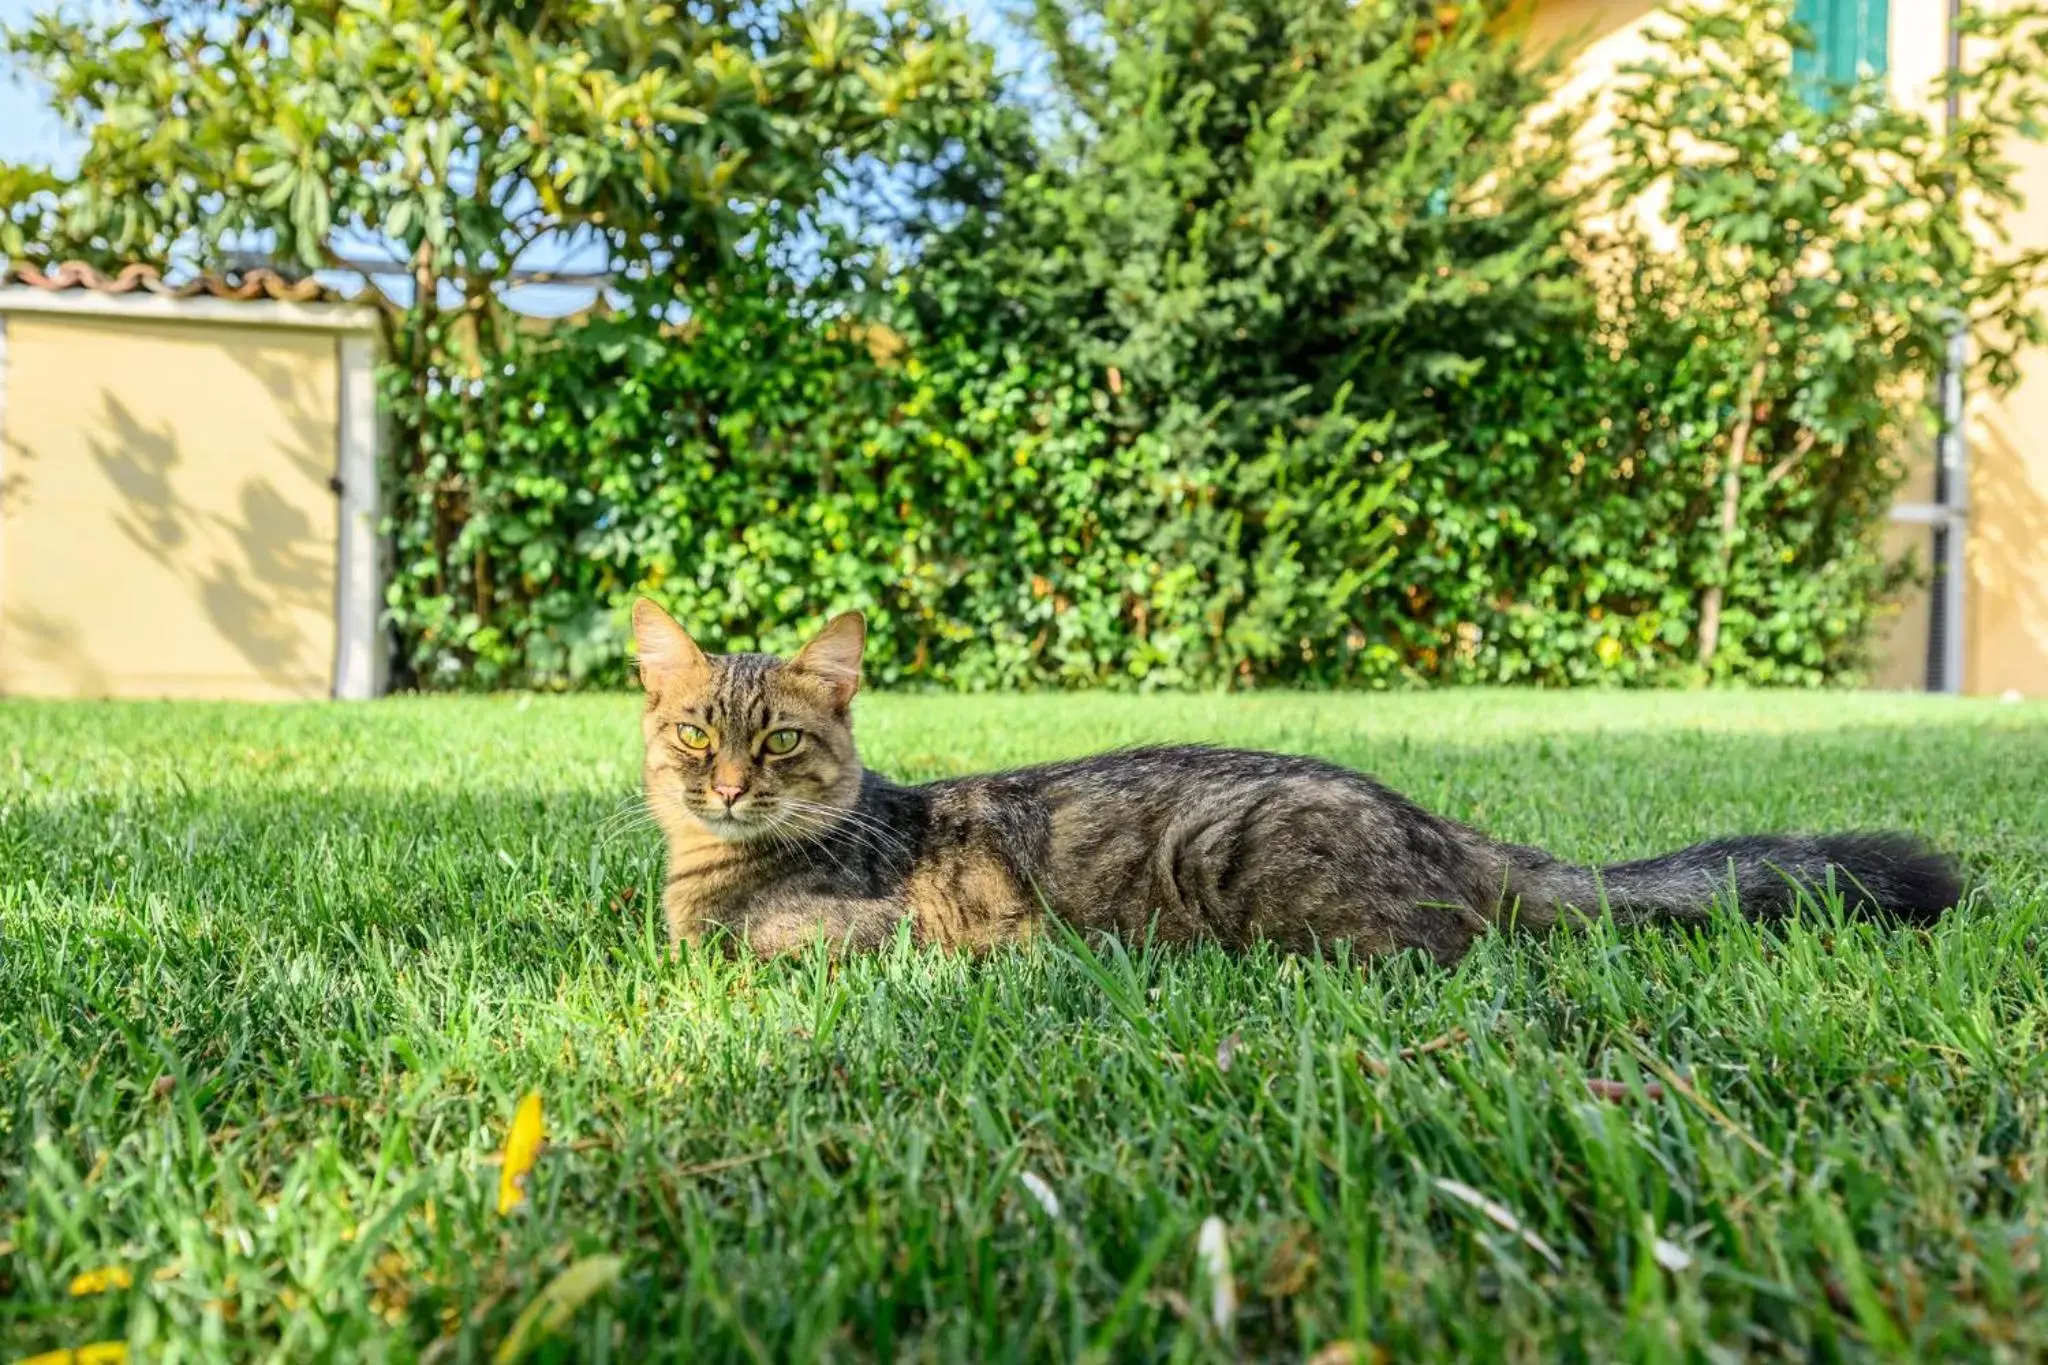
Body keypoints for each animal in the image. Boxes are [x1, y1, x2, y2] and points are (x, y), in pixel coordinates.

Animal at [630, 601, 1957, 965]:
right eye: (696, 737)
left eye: (778, 743)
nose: (729, 787)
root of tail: (1442, 823)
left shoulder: (863, 931)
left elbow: (762, 946)